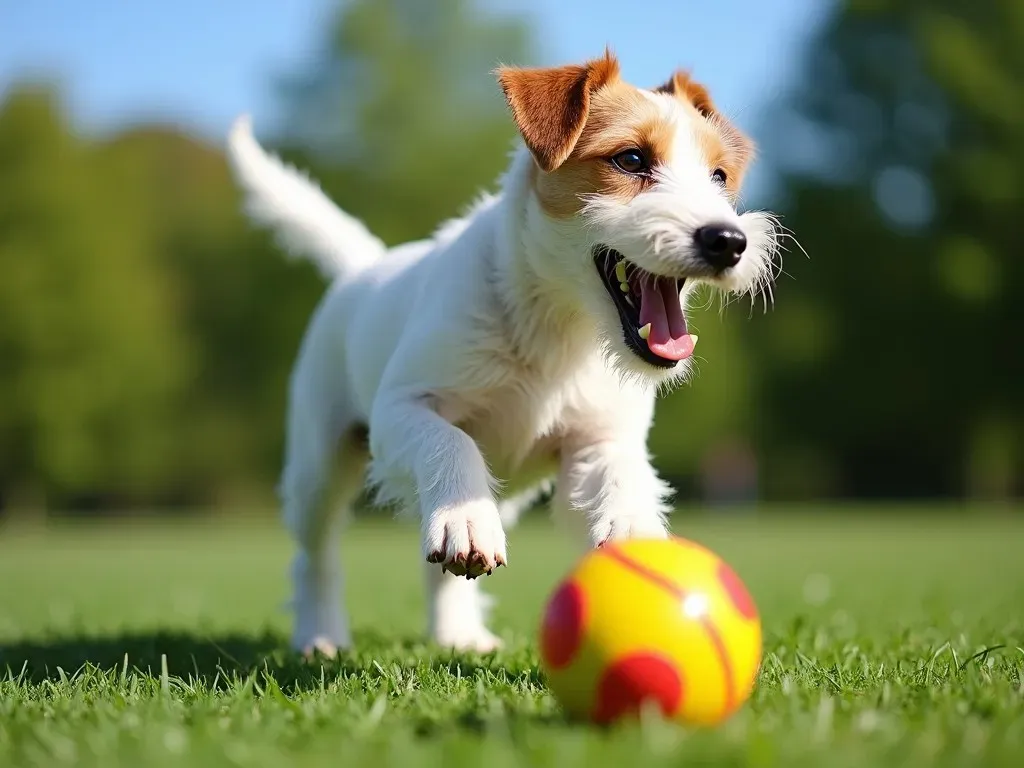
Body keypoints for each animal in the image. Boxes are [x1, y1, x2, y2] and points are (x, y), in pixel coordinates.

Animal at [228, 51, 778, 659]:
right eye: (631, 159)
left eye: (719, 177)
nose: (729, 241)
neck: (558, 328)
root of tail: (364, 267)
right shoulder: (402, 408)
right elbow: (452, 441)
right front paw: (468, 519)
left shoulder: (597, 439)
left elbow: (622, 473)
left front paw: (635, 528)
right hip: (319, 462)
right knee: (316, 554)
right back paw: (320, 633)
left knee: (437, 568)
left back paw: (459, 634)